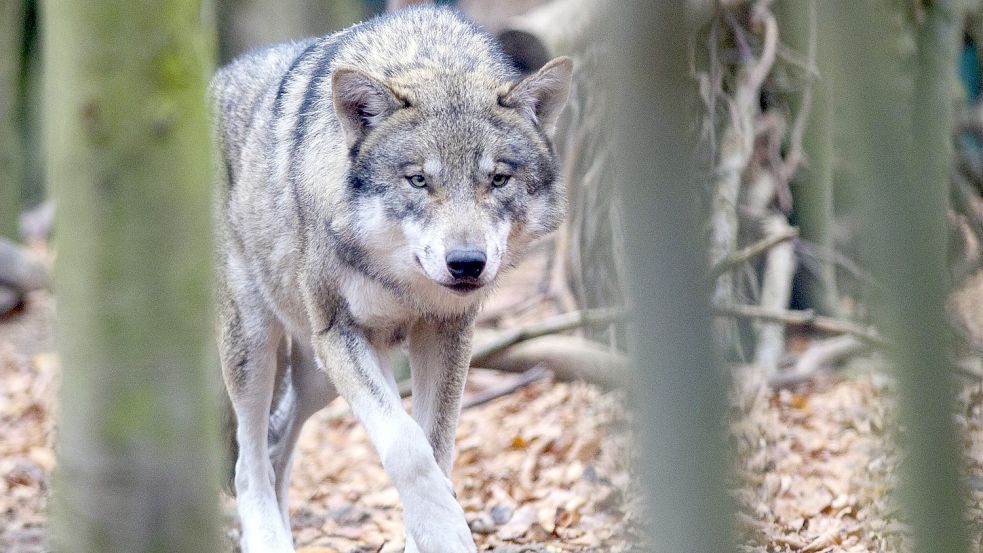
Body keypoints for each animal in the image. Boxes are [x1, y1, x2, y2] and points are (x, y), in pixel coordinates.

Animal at [209, 6, 571, 552]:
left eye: (498, 179)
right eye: (418, 179)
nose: (467, 263)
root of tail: (216, 80)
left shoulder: (446, 333)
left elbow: (436, 446)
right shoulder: (340, 333)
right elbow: (406, 445)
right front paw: (444, 532)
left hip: (317, 378)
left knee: (277, 447)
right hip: (258, 344)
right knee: (249, 461)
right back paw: (268, 538)